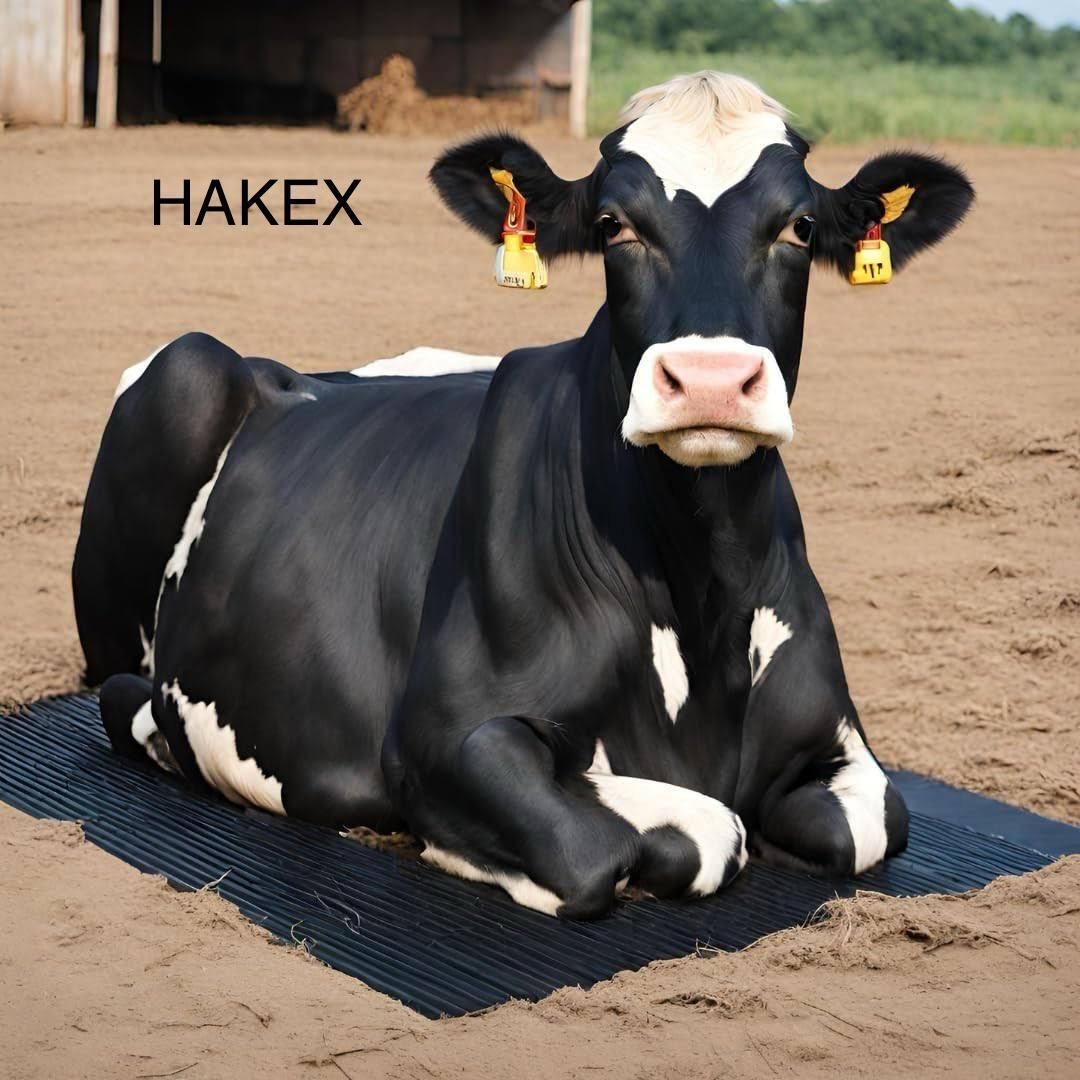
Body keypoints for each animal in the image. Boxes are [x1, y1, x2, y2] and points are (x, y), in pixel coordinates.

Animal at [73, 72, 974, 918]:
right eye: (613, 225)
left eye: (800, 227)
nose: (710, 379)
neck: (702, 599)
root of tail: (297, 371)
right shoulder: (444, 734)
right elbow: (679, 834)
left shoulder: (840, 743)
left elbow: (869, 824)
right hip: (186, 375)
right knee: (117, 690)